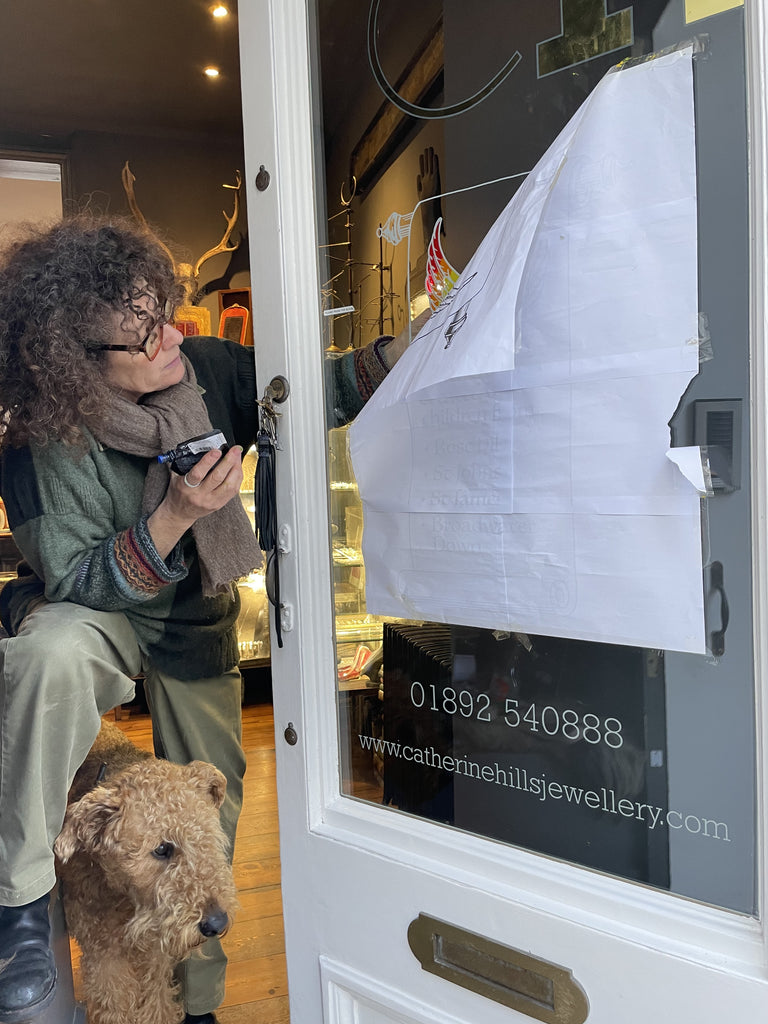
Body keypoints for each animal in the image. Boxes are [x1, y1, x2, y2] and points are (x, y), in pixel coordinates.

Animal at [53, 720, 237, 1024]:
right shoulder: (105, 958)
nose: (217, 923)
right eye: (162, 848)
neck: (124, 898)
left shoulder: (154, 954)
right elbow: (116, 1007)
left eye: (207, 836)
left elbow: (155, 1004)